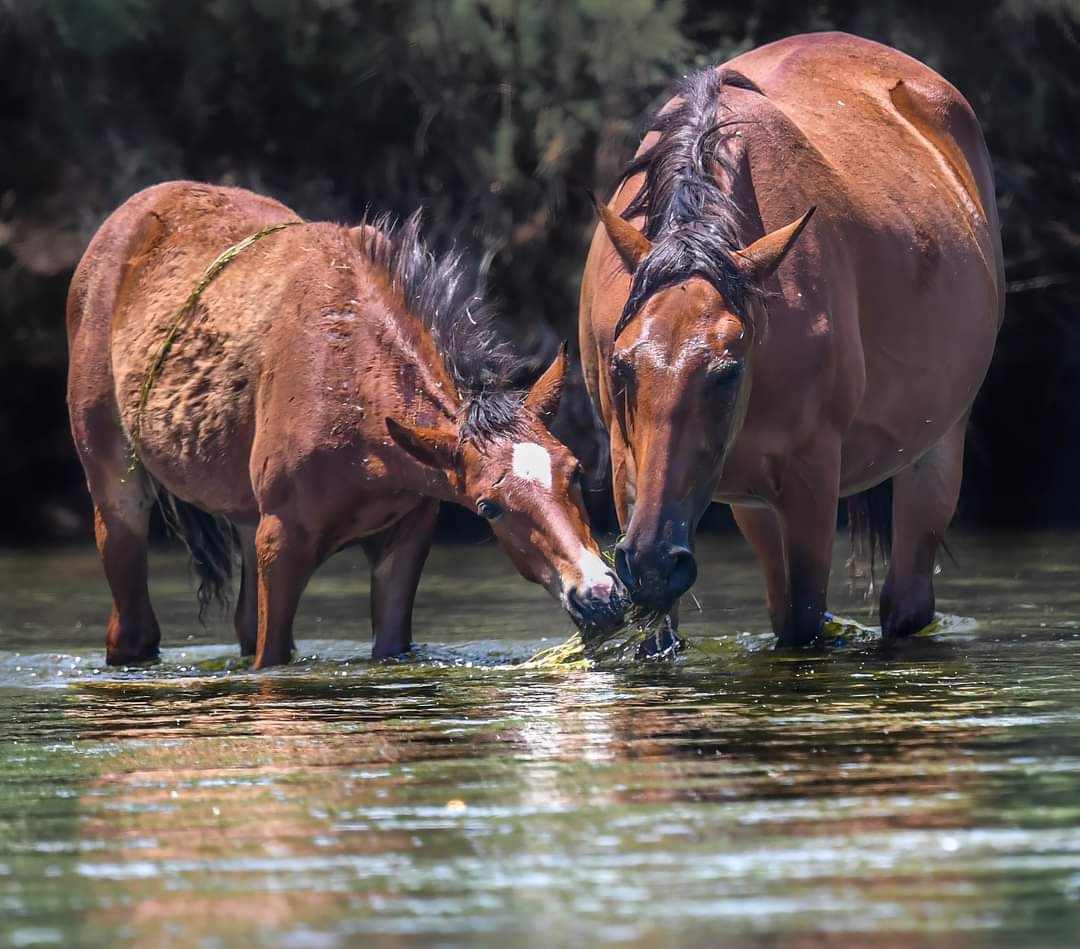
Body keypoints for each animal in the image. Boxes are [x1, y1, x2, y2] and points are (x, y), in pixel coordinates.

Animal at [68, 181, 625, 669]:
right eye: (489, 506)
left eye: (575, 470)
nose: (599, 594)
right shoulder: (280, 542)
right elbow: (270, 660)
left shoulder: (406, 535)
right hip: (115, 487)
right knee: (133, 630)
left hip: (244, 514)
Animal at [580, 33, 1004, 648]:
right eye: (620, 367)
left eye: (729, 371)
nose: (656, 562)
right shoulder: (627, 467)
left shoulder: (812, 476)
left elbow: (805, 622)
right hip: (750, 500)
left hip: (938, 446)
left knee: (905, 602)